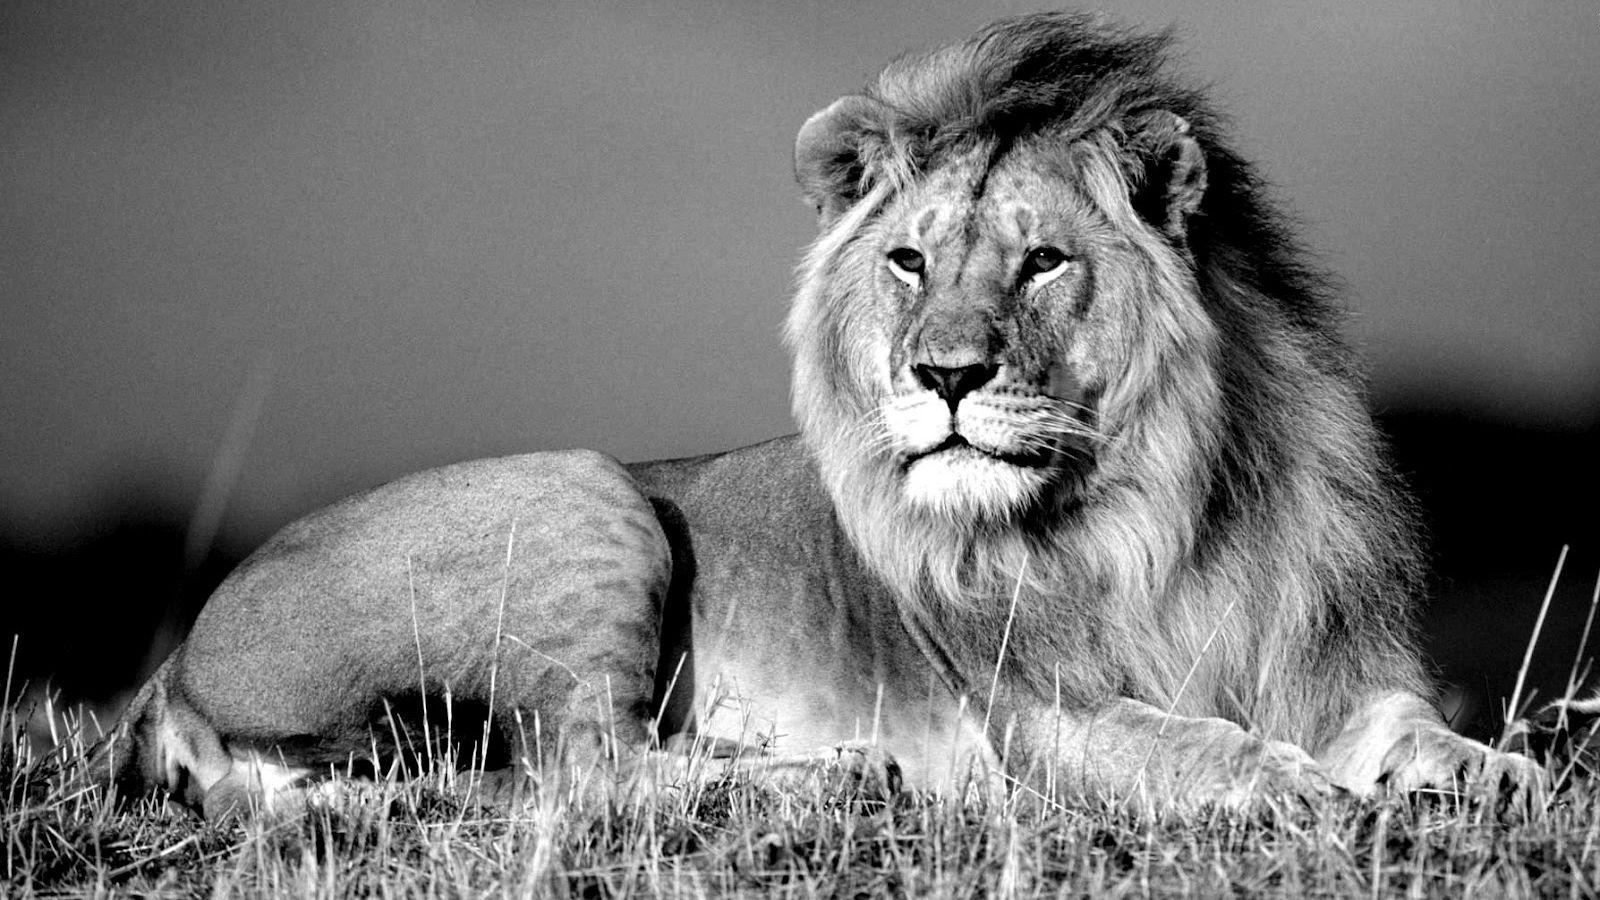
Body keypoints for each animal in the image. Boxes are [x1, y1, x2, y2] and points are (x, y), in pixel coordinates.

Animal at [91, 13, 1541, 818]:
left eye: (1041, 262)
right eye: (907, 262)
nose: (942, 376)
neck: (1165, 513)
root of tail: (178, 657)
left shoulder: (1335, 665)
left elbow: (1422, 731)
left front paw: (1500, 778)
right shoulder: (1035, 716)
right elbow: (1187, 740)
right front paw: (1289, 785)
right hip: (584, 493)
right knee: (583, 770)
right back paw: (829, 775)